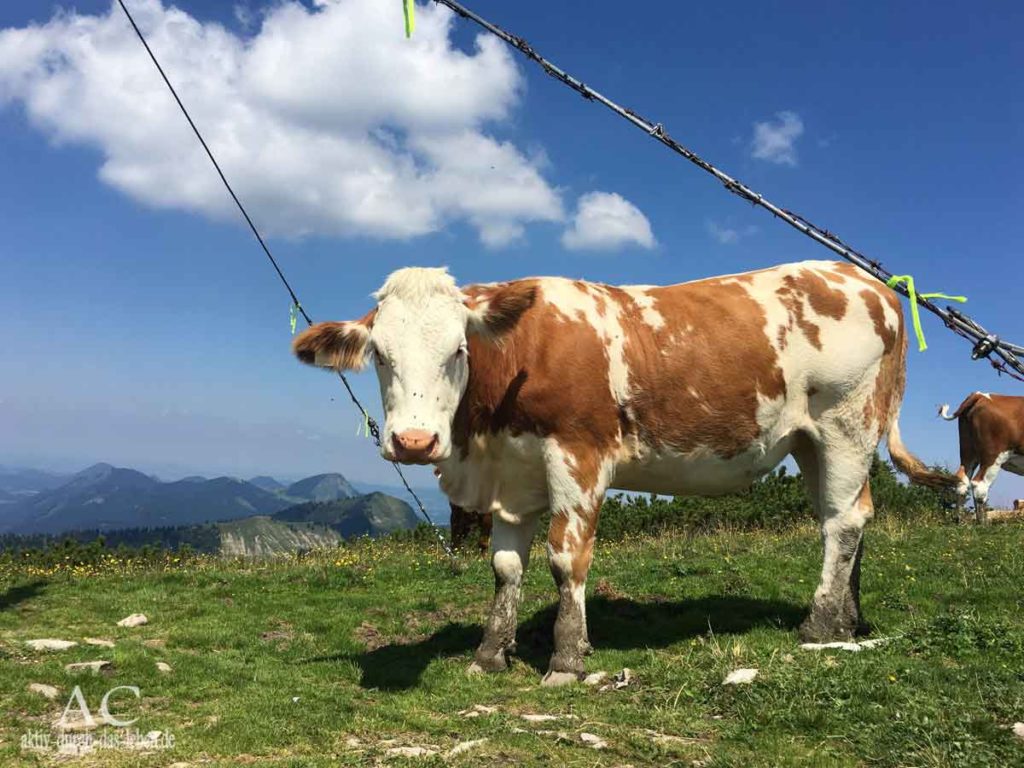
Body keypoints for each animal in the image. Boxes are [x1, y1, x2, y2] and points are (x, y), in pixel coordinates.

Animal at [937, 393, 1019, 528]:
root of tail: (979, 395)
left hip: (968, 452)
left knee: (962, 482)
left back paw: (960, 521)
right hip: (993, 456)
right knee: (980, 485)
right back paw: (983, 524)